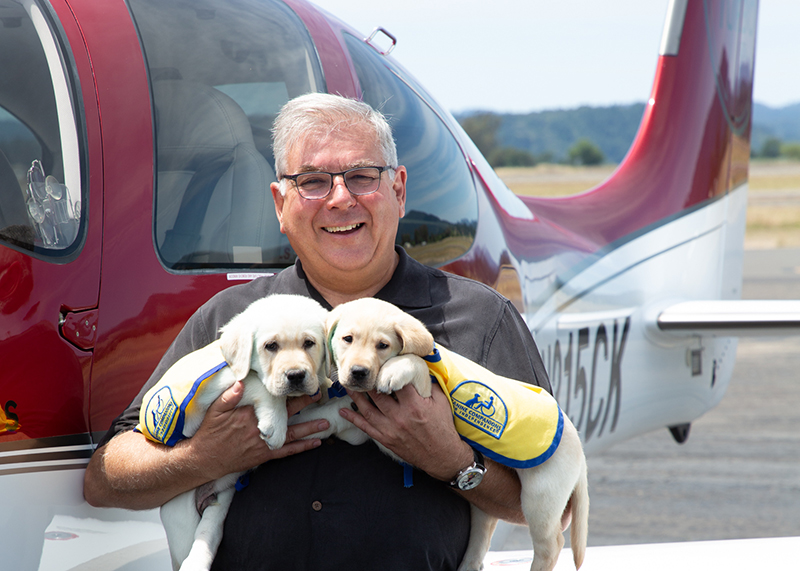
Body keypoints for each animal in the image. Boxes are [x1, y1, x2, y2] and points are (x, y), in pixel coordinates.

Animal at [136, 294, 330, 571]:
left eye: (309, 343)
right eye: (271, 346)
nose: (296, 376)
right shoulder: (214, 387)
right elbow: (254, 382)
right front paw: (275, 423)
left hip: (222, 498)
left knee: (209, 533)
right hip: (181, 516)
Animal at [318, 300, 588, 571]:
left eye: (383, 345)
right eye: (347, 339)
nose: (358, 372)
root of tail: (579, 448)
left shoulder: (425, 396)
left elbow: (414, 361)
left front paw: (395, 369)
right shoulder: (356, 423)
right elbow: (332, 412)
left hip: (541, 494)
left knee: (552, 543)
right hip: (487, 505)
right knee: (484, 532)